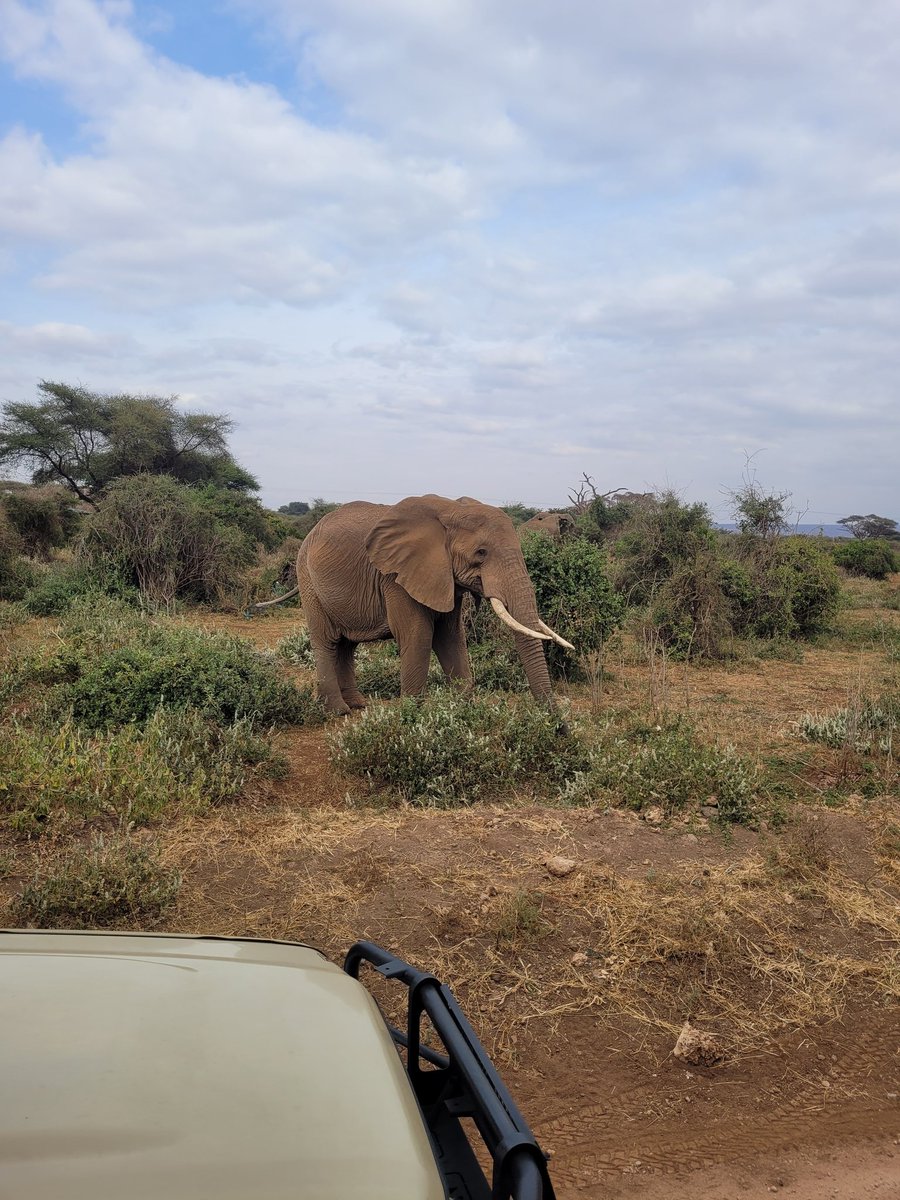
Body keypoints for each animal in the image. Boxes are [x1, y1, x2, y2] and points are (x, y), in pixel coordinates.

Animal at [254, 494, 573, 715]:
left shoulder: (444, 579)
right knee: (326, 642)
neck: (450, 509)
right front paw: (413, 720)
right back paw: (338, 711)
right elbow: (419, 636)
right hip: (308, 579)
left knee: (347, 645)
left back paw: (358, 705)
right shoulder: (396, 578)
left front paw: (462, 710)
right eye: (481, 553)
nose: (559, 728)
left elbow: (451, 637)